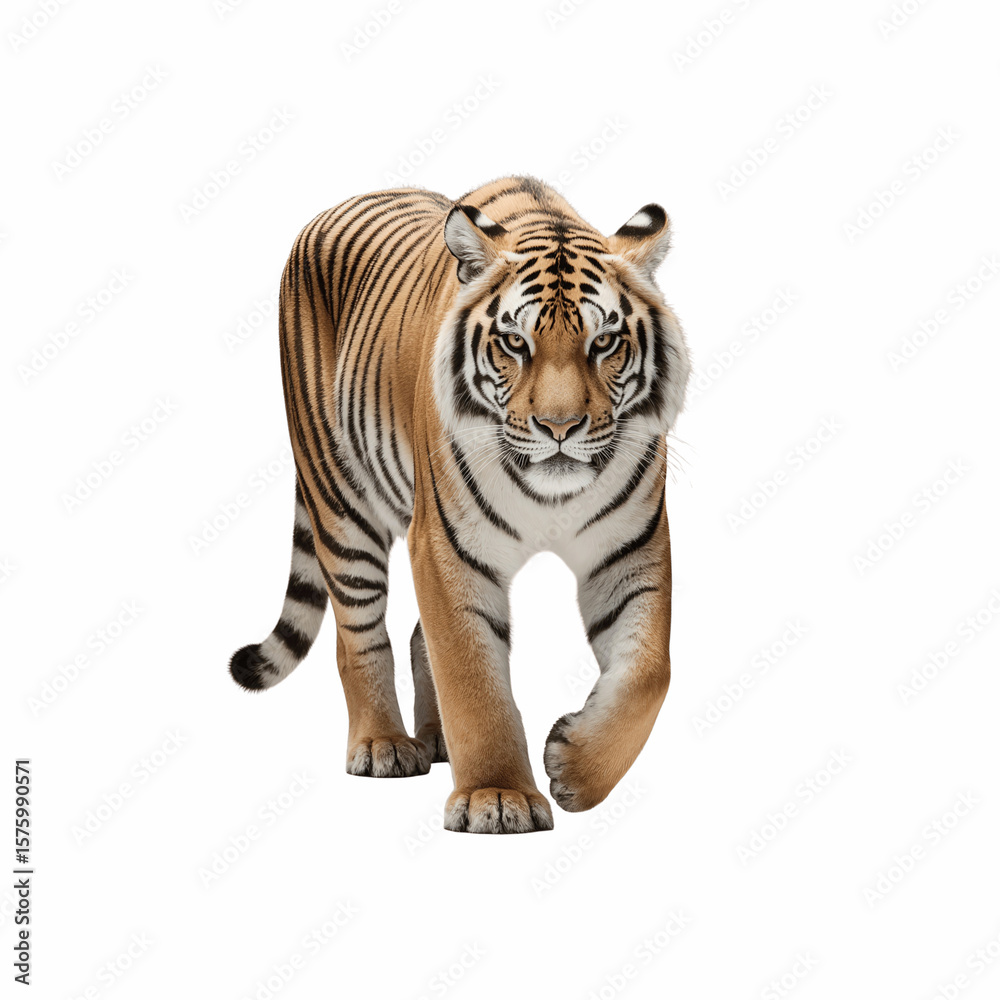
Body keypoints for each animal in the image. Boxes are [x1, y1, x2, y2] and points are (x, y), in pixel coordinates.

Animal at [229, 175, 691, 834]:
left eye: (604, 341)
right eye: (514, 342)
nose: (560, 427)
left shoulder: (632, 549)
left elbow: (650, 671)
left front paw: (575, 768)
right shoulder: (446, 547)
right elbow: (473, 676)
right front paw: (496, 796)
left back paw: (436, 739)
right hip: (339, 501)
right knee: (359, 635)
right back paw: (383, 745)